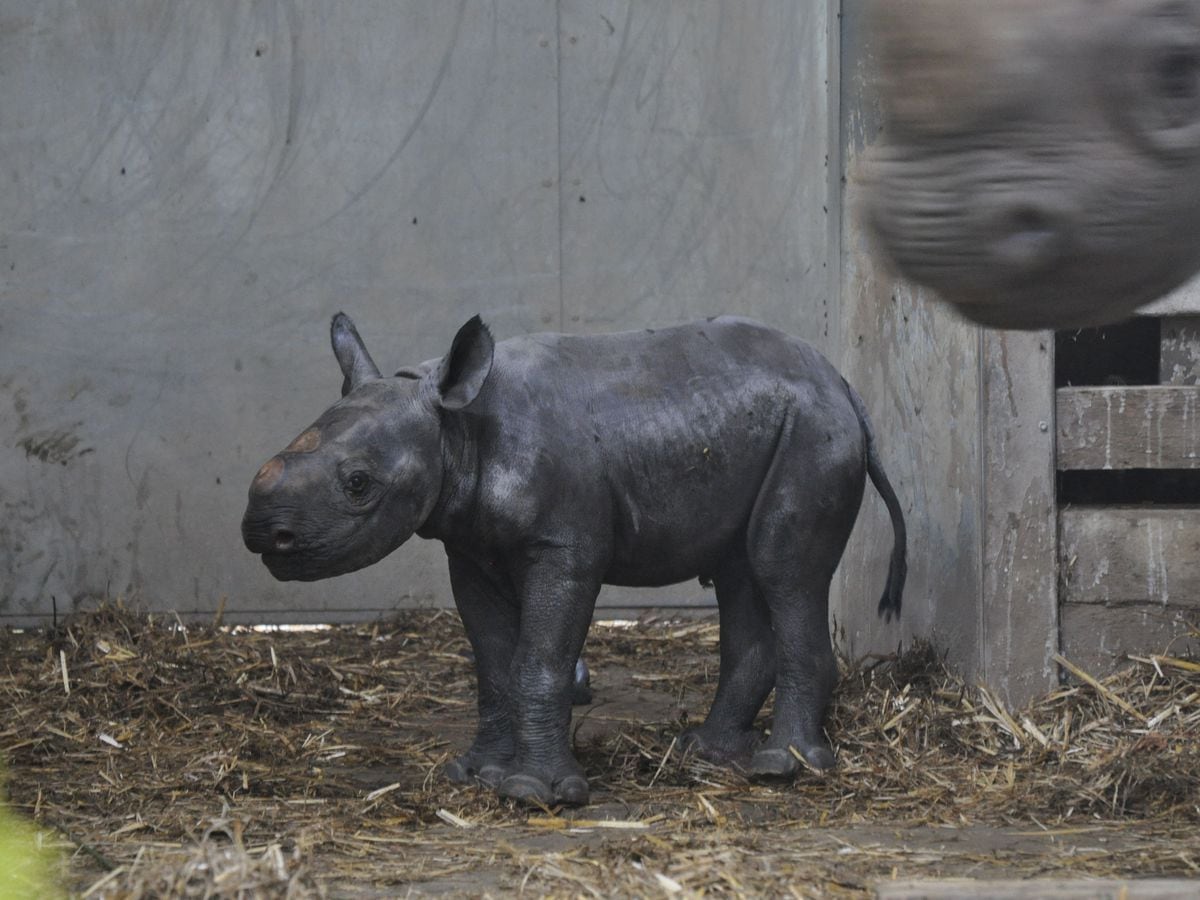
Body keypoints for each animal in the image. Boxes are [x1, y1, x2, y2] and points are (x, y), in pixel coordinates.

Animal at [238, 314, 902, 806]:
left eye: (358, 484)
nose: (262, 534)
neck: (454, 427)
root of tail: (845, 386)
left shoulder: (564, 548)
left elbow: (539, 660)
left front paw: (536, 793)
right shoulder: (469, 548)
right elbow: (493, 664)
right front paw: (474, 774)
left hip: (813, 431)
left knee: (781, 570)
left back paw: (782, 768)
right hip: (765, 427)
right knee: (741, 571)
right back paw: (705, 752)